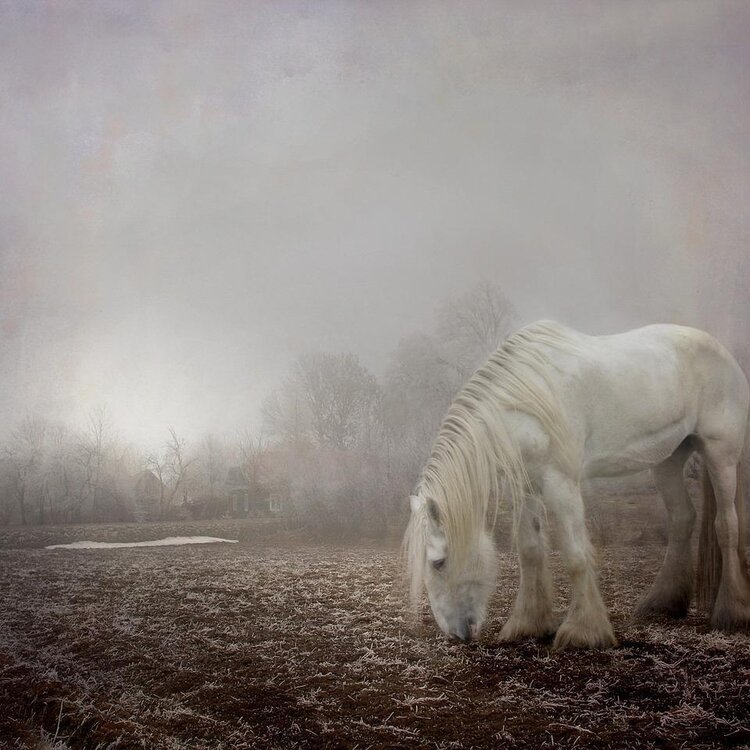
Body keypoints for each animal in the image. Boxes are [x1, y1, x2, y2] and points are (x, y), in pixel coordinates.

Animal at [404, 320, 750, 649]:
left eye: (438, 562)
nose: (456, 633)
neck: (525, 400)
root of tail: (723, 352)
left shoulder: (561, 483)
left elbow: (575, 553)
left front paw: (584, 631)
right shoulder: (527, 487)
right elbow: (530, 551)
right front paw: (528, 624)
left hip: (720, 454)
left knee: (727, 526)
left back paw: (732, 611)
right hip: (668, 460)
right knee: (682, 519)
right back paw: (662, 604)